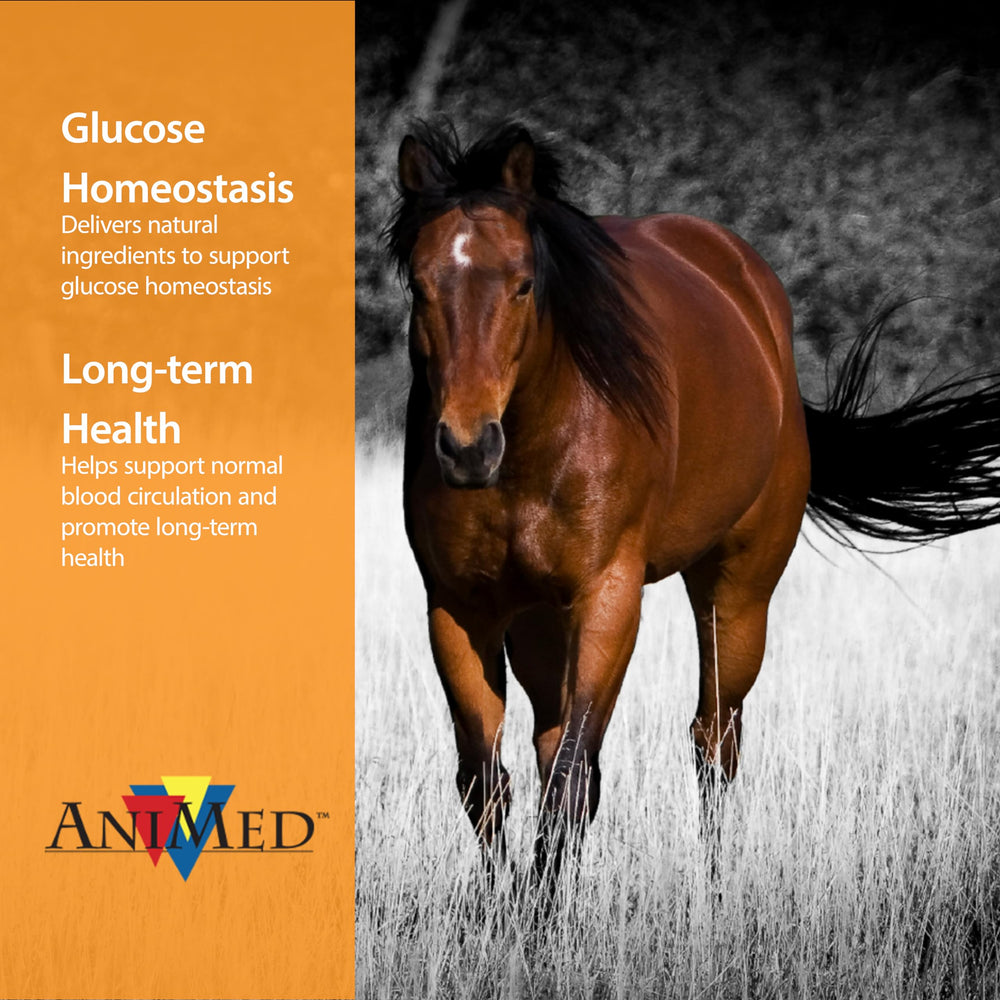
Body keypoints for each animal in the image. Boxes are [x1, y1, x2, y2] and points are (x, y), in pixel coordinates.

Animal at [387, 121, 1000, 884]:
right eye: (420, 285)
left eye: (524, 283)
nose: (468, 447)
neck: (534, 445)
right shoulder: (459, 607)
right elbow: (486, 782)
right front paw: (510, 907)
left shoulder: (609, 596)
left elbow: (569, 780)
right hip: (538, 620)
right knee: (555, 743)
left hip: (735, 593)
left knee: (714, 739)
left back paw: (714, 887)